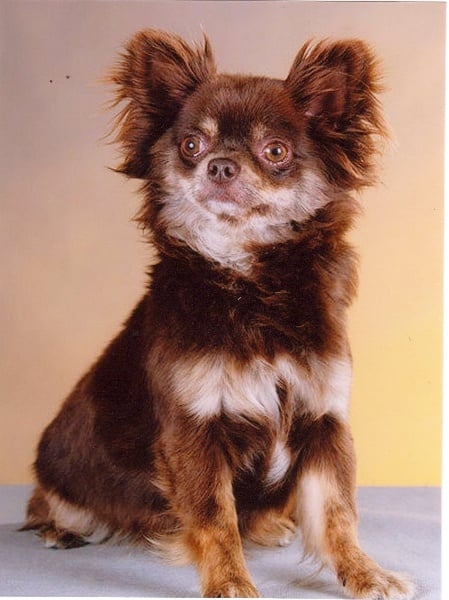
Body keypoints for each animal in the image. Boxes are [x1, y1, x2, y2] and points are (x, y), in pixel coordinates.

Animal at [23, 30, 414, 599]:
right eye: (192, 146)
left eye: (275, 151)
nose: (221, 165)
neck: (250, 285)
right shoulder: (194, 428)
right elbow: (215, 517)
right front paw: (230, 583)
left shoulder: (323, 420)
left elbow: (337, 513)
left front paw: (365, 573)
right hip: (61, 467)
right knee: (45, 502)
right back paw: (58, 527)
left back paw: (270, 526)